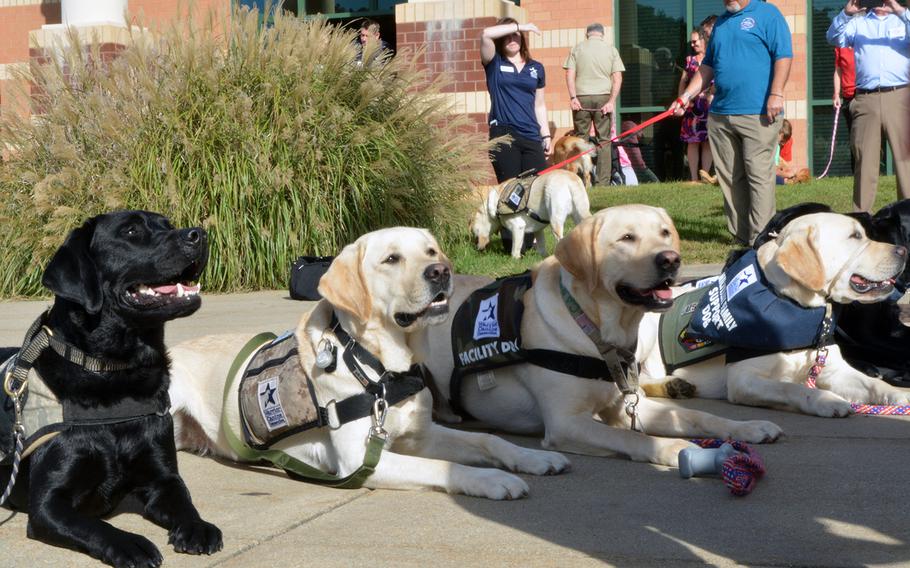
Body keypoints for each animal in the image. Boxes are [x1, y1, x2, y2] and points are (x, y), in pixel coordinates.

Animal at [0, 212, 221, 568]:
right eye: (130, 231)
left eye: (167, 224)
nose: (198, 234)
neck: (115, 372)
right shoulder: (48, 503)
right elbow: (92, 525)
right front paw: (131, 544)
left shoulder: (163, 479)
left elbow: (184, 500)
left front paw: (197, 527)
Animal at [169, 227, 568, 502]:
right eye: (391, 259)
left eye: (430, 250)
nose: (440, 271)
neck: (379, 367)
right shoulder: (361, 459)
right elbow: (445, 467)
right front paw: (494, 480)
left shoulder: (421, 435)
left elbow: (489, 439)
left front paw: (534, 457)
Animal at [420, 204, 784, 466]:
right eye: (626, 238)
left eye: (665, 233)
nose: (671, 260)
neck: (599, 331)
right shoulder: (566, 423)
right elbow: (632, 437)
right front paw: (673, 448)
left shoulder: (624, 406)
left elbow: (696, 415)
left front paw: (746, 427)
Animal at [640, 213, 910, 418]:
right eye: (855, 236)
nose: (903, 250)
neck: (794, 305)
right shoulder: (743, 380)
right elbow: (791, 388)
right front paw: (825, 400)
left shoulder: (835, 371)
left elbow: (876, 384)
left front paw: (902, 394)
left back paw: (674, 386)